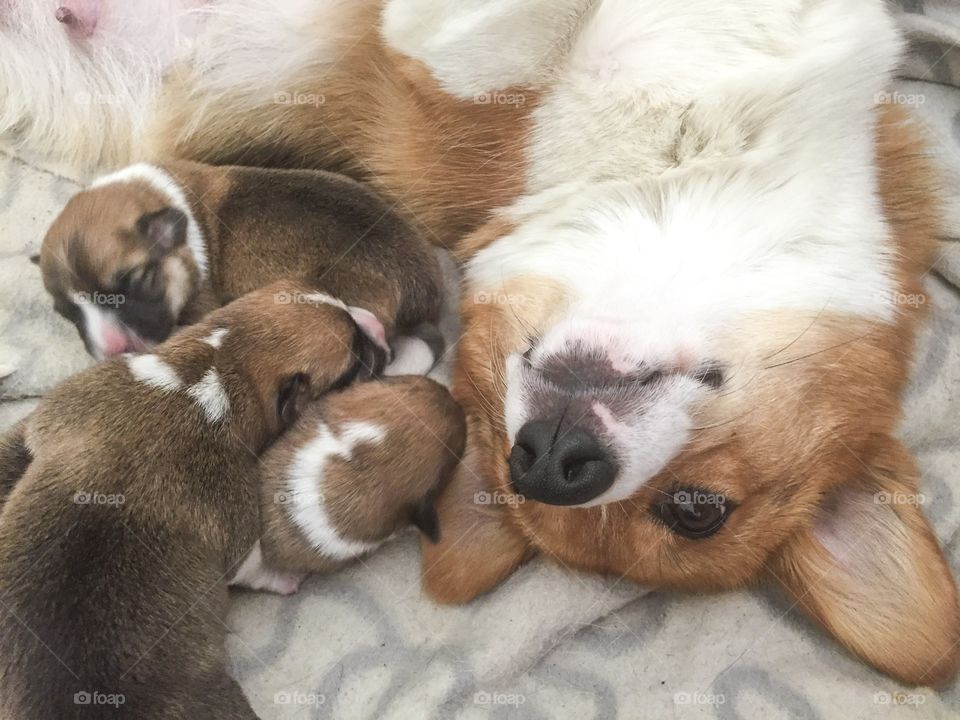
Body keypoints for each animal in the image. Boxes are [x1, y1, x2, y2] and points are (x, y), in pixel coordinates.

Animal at [0, 282, 394, 720]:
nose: (377, 324)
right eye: (355, 356)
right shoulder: (237, 518)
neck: (217, 369)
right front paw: (283, 577)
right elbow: (251, 563)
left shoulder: (59, 409)